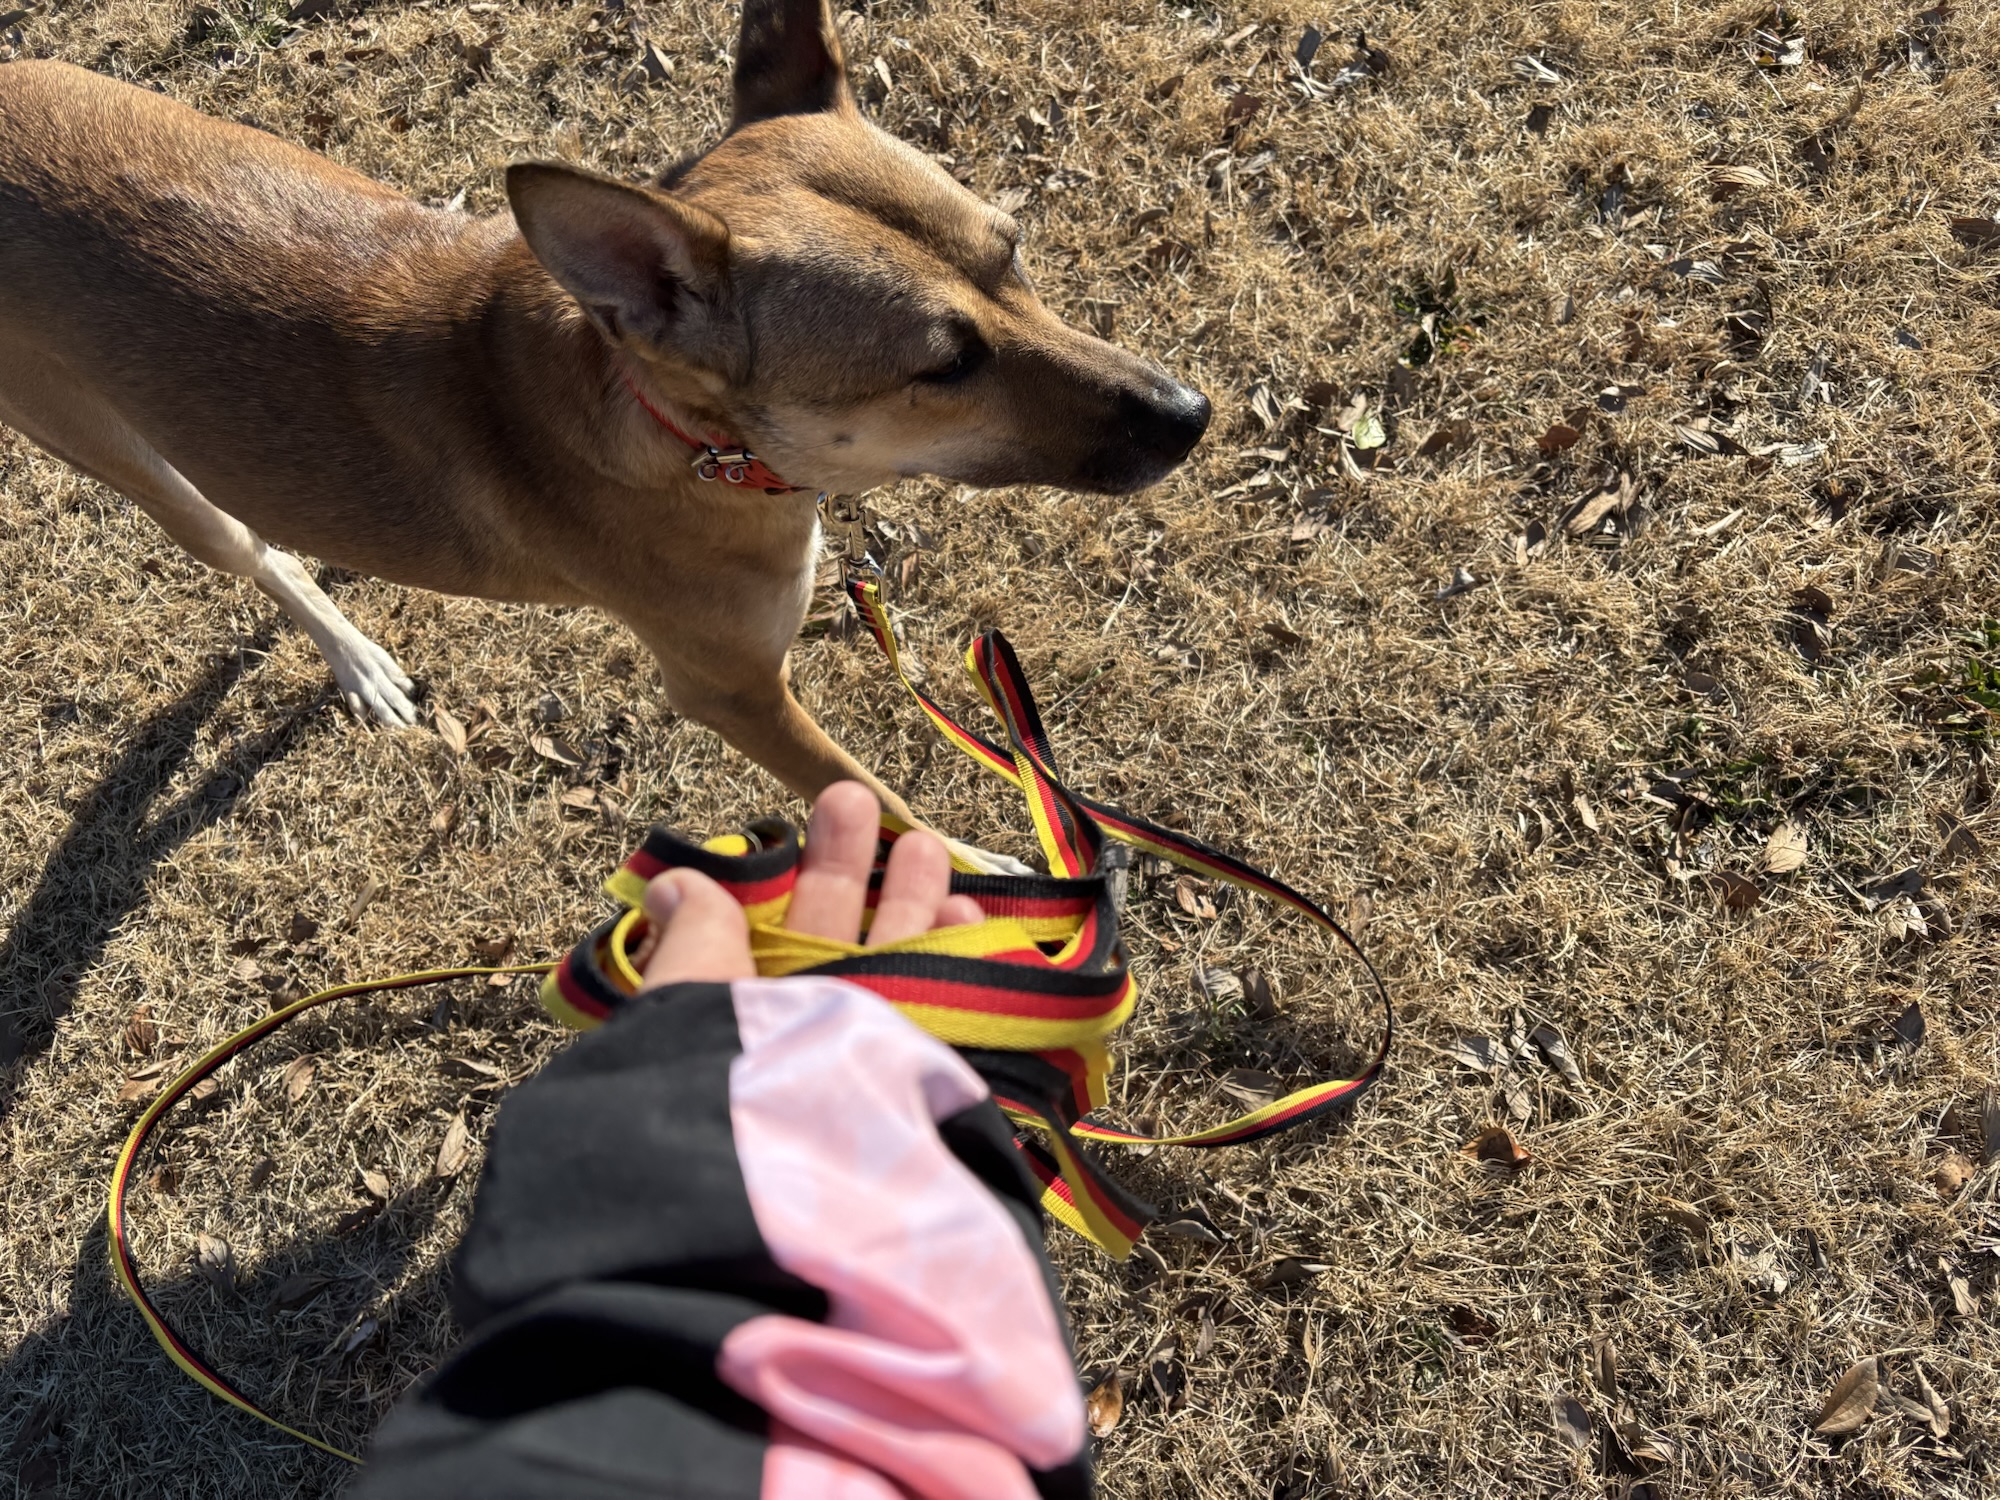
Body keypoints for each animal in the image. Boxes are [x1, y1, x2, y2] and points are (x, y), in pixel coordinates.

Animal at [0, 0, 1209, 864]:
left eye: (1013, 251)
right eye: (942, 364)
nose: (1189, 417)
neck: (684, 434)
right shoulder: (734, 693)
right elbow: (860, 791)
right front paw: (972, 879)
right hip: (121, 456)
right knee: (248, 547)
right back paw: (353, 657)